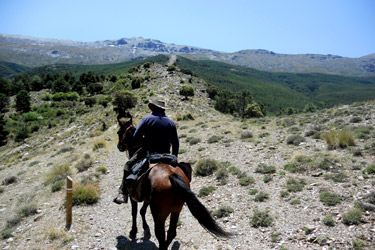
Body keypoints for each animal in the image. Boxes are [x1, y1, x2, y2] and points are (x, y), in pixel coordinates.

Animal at [117, 115, 232, 250]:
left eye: (119, 132)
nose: (119, 146)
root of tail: (171, 175)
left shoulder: (133, 196)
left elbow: (134, 212)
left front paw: (133, 232)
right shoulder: (146, 198)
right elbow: (142, 211)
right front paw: (145, 229)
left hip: (159, 215)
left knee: (161, 236)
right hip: (176, 209)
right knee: (171, 232)